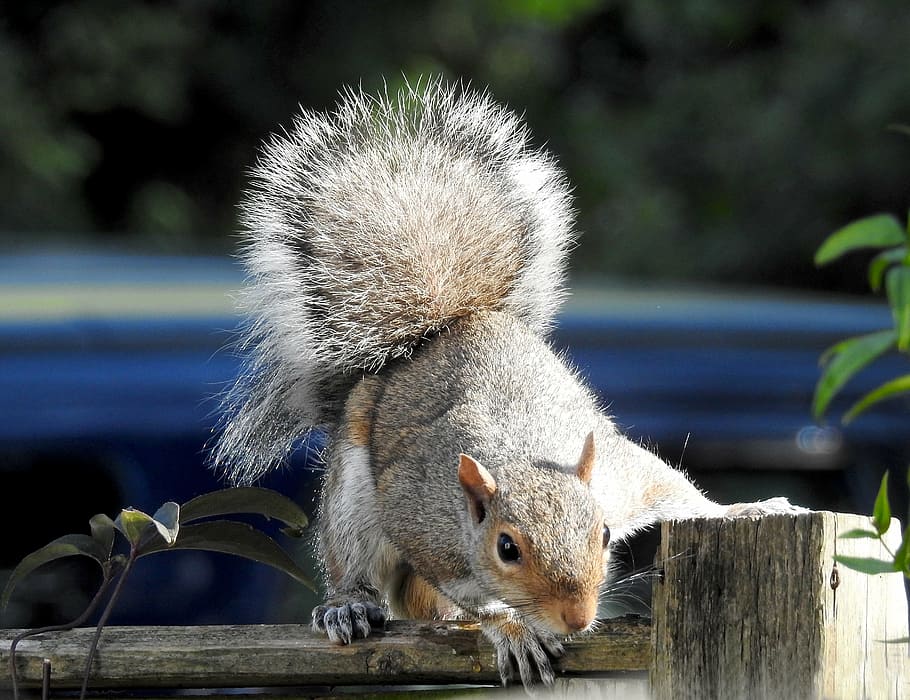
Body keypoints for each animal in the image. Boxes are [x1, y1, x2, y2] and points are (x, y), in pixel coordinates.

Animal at [211, 78, 801, 689]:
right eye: (507, 548)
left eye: (605, 534)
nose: (577, 617)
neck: (520, 454)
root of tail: (448, 324)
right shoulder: (424, 525)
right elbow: (477, 601)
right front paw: (513, 629)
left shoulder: (619, 477)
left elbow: (676, 490)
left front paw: (747, 509)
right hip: (355, 491)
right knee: (361, 560)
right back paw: (348, 603)